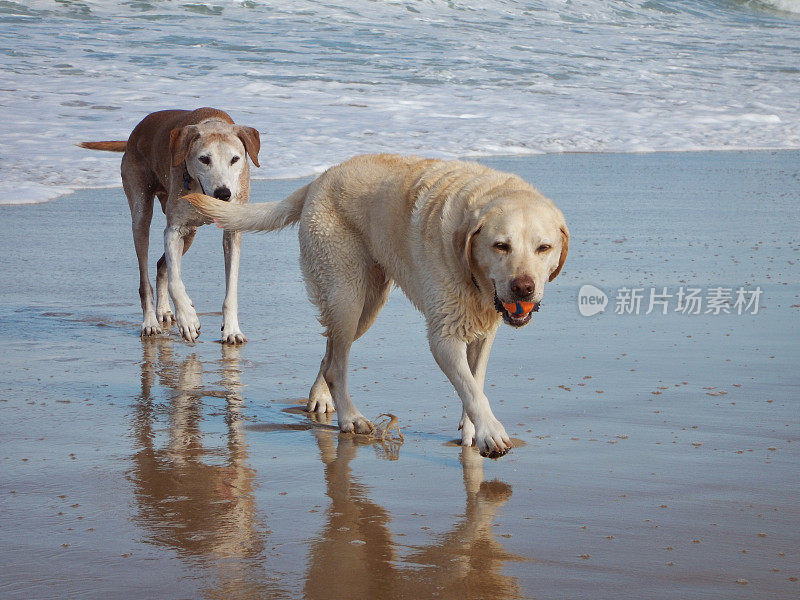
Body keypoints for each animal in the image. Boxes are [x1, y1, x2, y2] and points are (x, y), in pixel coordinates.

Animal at [80, 107, 260, 342]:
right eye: (204, 159)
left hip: (190, 233)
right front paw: (188, 319)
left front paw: (231, 330)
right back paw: (150, 322)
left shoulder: (231, 231)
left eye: (235, 159)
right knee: (145, 276)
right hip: (140, 211)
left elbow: (231, 287)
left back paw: (164, 310)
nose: (223, 194)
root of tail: (134, 133)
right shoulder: (174, 231)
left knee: (160, 265)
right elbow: (176, 280)